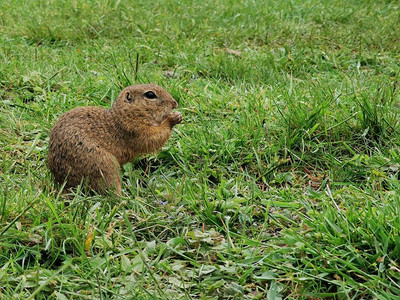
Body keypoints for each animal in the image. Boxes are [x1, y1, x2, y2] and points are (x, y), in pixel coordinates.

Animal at [47, 84, 183, 195]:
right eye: (150, 94)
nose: (174, 103)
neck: (123, 115)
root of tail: (65, 184)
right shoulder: (135, 130)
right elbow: (153, 137)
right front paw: (173, 118)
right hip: (104, 165)